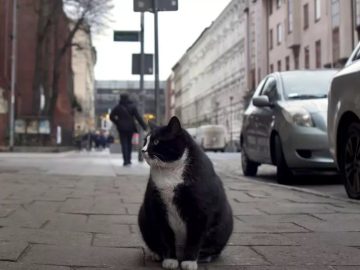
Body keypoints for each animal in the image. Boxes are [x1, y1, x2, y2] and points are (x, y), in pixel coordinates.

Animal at [138, 116, 233, 270]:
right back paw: (156, 254)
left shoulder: (200, 211)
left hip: (225, 223)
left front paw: (189, 261)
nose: (142, 150)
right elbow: (166, 237)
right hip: (143, 216)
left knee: (214, 249)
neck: (170, 173)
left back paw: (204, 257)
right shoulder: (158, 208)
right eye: (145, 141)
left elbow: (194, 239)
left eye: (156, 141)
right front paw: (170, 260)